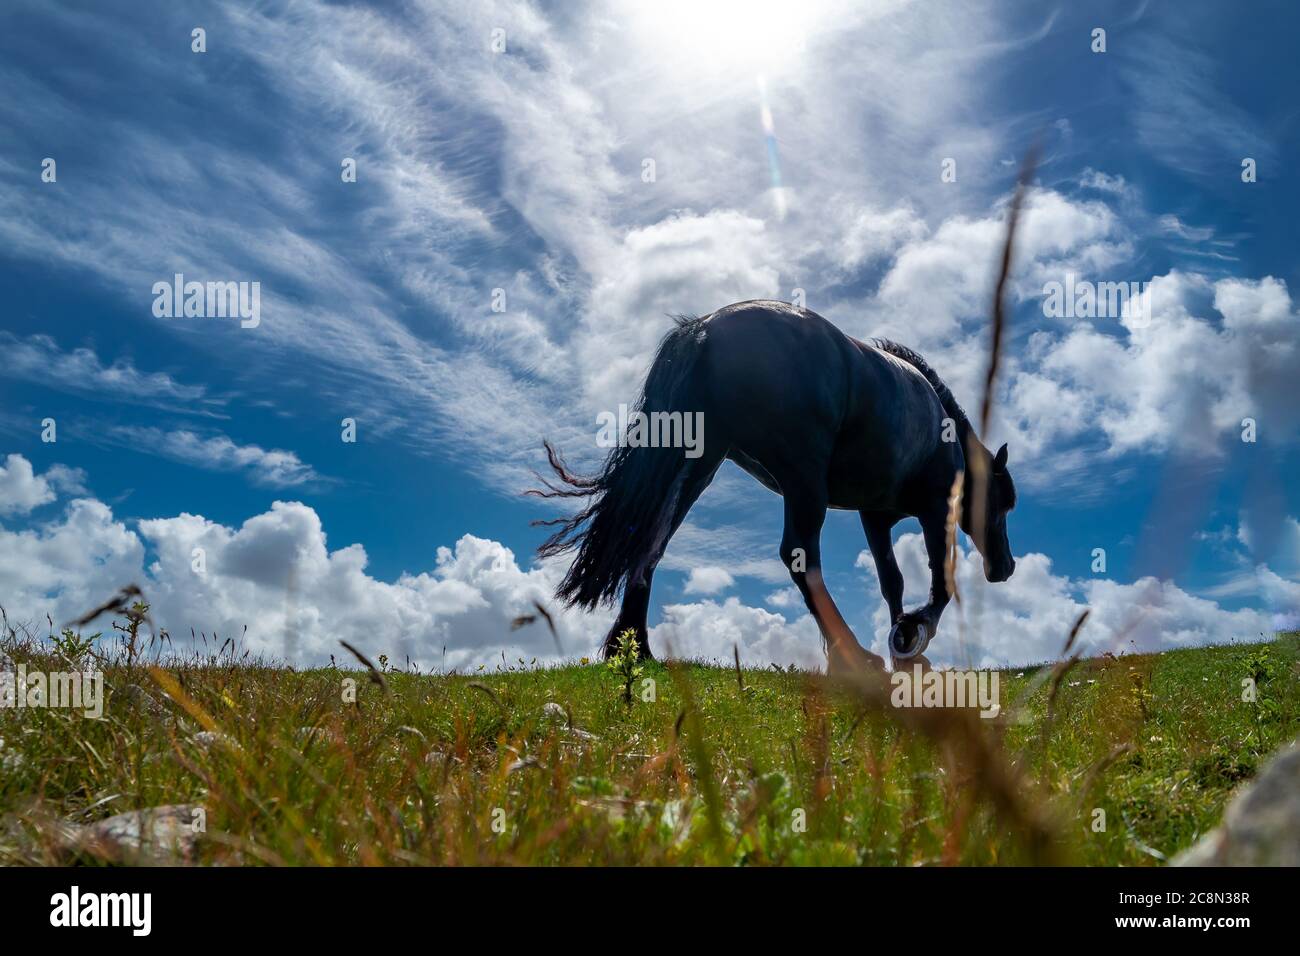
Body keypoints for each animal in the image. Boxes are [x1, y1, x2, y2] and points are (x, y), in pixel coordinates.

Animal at [529, 299, 1018, 673]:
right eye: (1003, 503)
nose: (1006, 568)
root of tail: (705, 329)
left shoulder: (875, 517)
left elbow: (891, 580)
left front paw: (904, 647)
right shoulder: (935, 508)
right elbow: (941, 581)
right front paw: (914, 632)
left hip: (696, 469)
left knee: (651, 542)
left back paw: (632, 645)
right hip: (803, 479)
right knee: (800, 555)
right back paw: (851, 656)